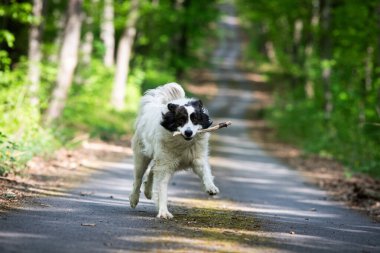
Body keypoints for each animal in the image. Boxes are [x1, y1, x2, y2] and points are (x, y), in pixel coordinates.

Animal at [130, 82, 220, 218]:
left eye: (195, 119)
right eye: (181, 120)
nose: (188, 132)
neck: (183, 143)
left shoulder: (197, 156)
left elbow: (204, 170)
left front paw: (211, 187)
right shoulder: (165, 164)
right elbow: (161, 186)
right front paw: (163, 211)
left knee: (152, 171)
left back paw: (148, 191)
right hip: (142, 155)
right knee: (138, 178)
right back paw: (134, 199)